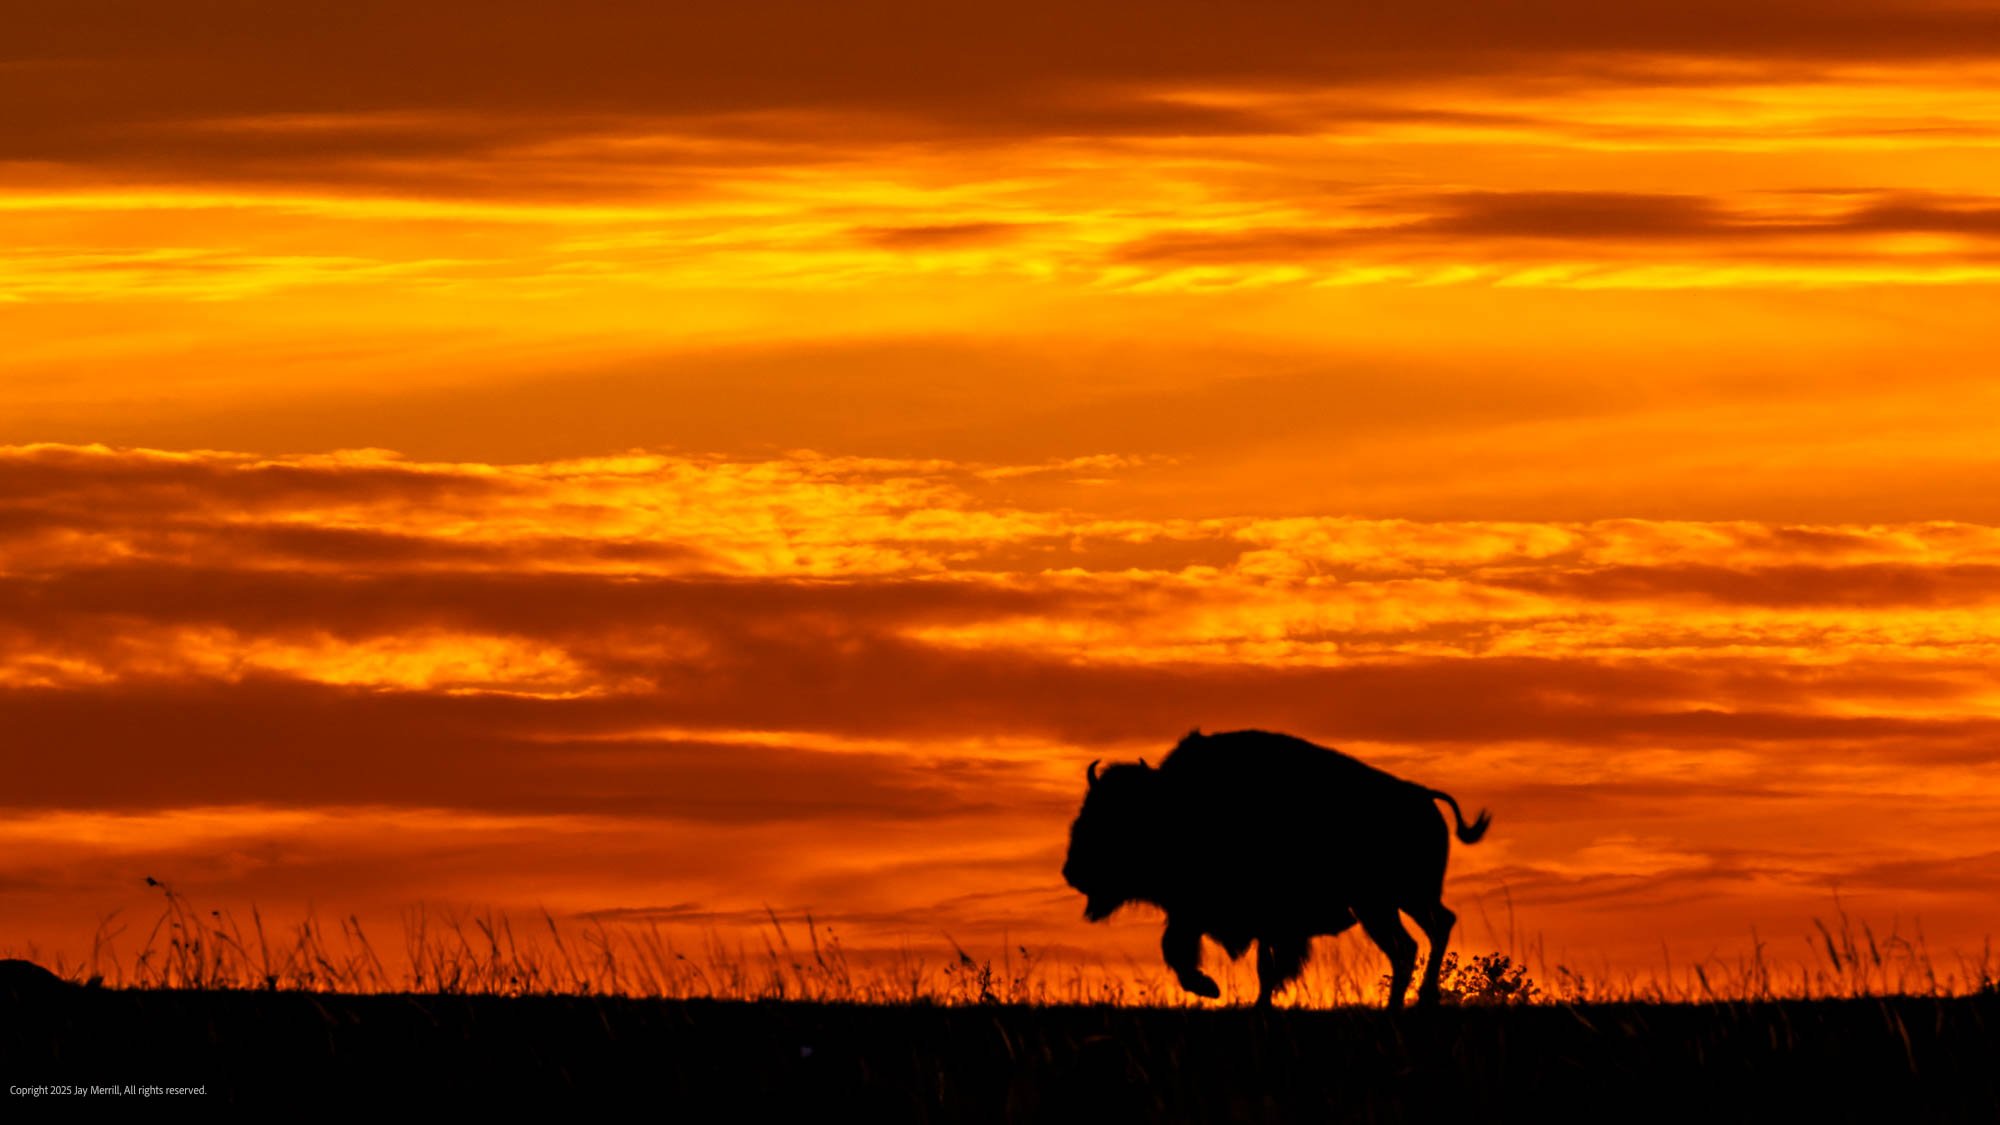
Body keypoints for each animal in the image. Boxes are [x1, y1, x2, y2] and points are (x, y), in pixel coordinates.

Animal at [1060, 729, 1490, 1009]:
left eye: (1113, 818)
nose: (1071, 872)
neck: (1171, 803)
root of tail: (1423, 796)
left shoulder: (1270, 923)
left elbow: (1264, 966)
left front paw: (1222, 992)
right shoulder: (1202, 914)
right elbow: (1180, 949)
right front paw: (1216, 990)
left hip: (1385, 903)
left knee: (1412, 943)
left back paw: (1408, 1002)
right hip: (1398, 902)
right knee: (1428, 933)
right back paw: (1415, 1000)